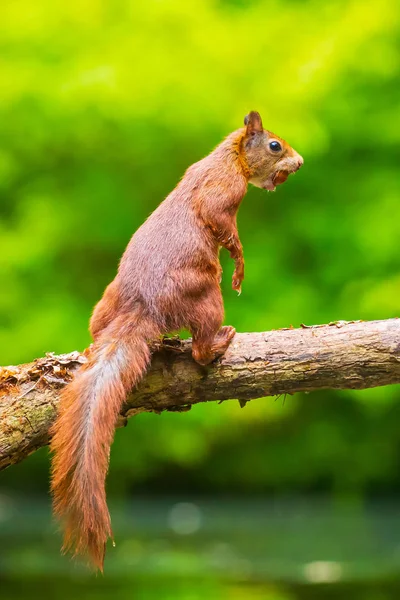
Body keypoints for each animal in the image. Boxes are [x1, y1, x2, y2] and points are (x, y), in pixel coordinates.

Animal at [51, 110, 304, 568]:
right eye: (275, 145)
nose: (300, 162)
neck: (225, 158)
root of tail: (143, 307)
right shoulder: (222, 192)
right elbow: (224, 227)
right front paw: (239, 267)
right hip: (206, 297)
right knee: (201, 349)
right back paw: (220, 340)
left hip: (105, 305)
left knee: (97, 330)